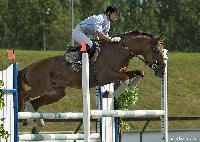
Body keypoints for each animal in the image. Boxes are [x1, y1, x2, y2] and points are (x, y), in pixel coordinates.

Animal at [18, 30, 166, 112]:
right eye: (156, 50)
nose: (163, 69)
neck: (119, 51)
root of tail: (29, 68)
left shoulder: (122, 71)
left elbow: (139, 73)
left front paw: (131, 86)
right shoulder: (105, 76)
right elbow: (124, 79)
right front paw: (109, 94)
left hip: (56, 92)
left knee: (36, 102)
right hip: (40, 87)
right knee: (25, 96)